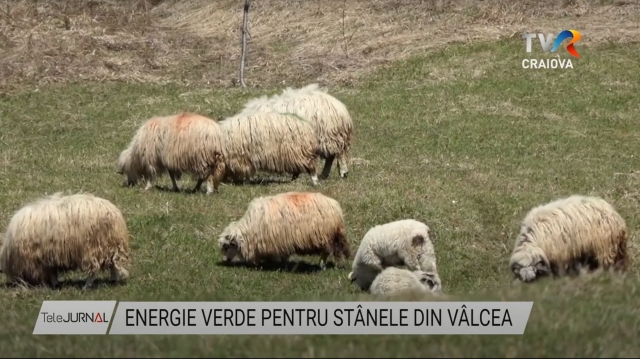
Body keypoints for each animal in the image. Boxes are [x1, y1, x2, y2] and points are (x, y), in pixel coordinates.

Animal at [0, 193, 131, 292]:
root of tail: (115, 214)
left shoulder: (43, 257)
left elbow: (51, 272)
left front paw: (54, 284)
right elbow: (52, 272)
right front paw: (55, 284)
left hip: (93, 247)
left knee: (94, 270)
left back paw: (86, 286)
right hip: (109, 246)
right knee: (113, 265)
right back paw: (113, 280)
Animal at [219, 193, 350, 272]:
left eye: (226, 246)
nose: (225, 260)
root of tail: (335, 206)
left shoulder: (280, 241)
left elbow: (283, 257)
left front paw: (283, 267)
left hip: (326, 236)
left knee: (327, 252)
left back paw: (323, 266)